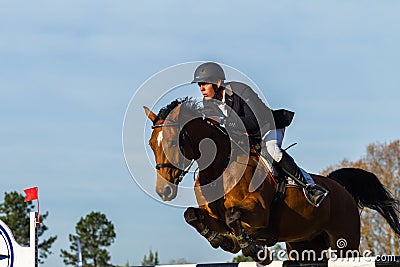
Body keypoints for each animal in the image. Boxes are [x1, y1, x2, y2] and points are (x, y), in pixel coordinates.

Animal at [144, 98, 400, 266]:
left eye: (173, 143)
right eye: (151, 144)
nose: (164, 190)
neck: (220, 167)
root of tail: (340, 189)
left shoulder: (258, 213)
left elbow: (233, 216)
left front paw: (253, 249)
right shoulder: (213, 216)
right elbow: (192, 215)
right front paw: (224, 241)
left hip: (344, 243)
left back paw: (314, 192)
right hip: (305, 245)